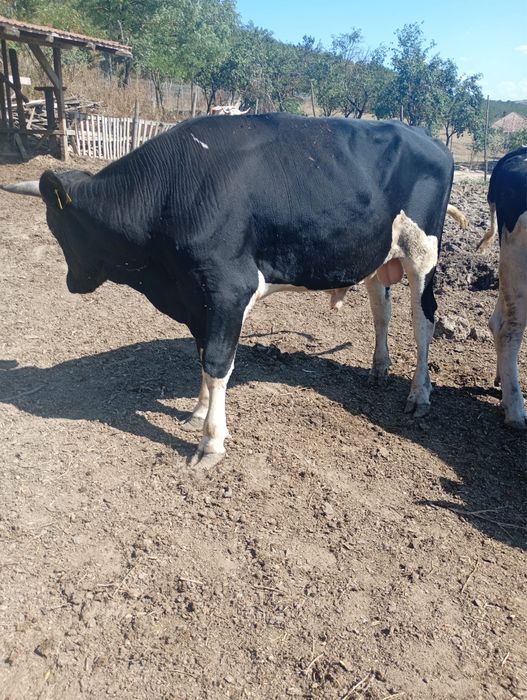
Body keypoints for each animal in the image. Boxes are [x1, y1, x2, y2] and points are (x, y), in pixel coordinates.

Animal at [2, 113, 455, 468]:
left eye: (58, 227)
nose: (72, 283)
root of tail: (426, 137)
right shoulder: (195, 296)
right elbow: (202, 354)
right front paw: (197, 411)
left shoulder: (227, 289)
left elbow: (218, 362)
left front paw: (211, 441)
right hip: (377, 254)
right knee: (382, 310)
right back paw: (379, 368)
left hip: (423, 253)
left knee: (424, 320)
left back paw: (419, 394)